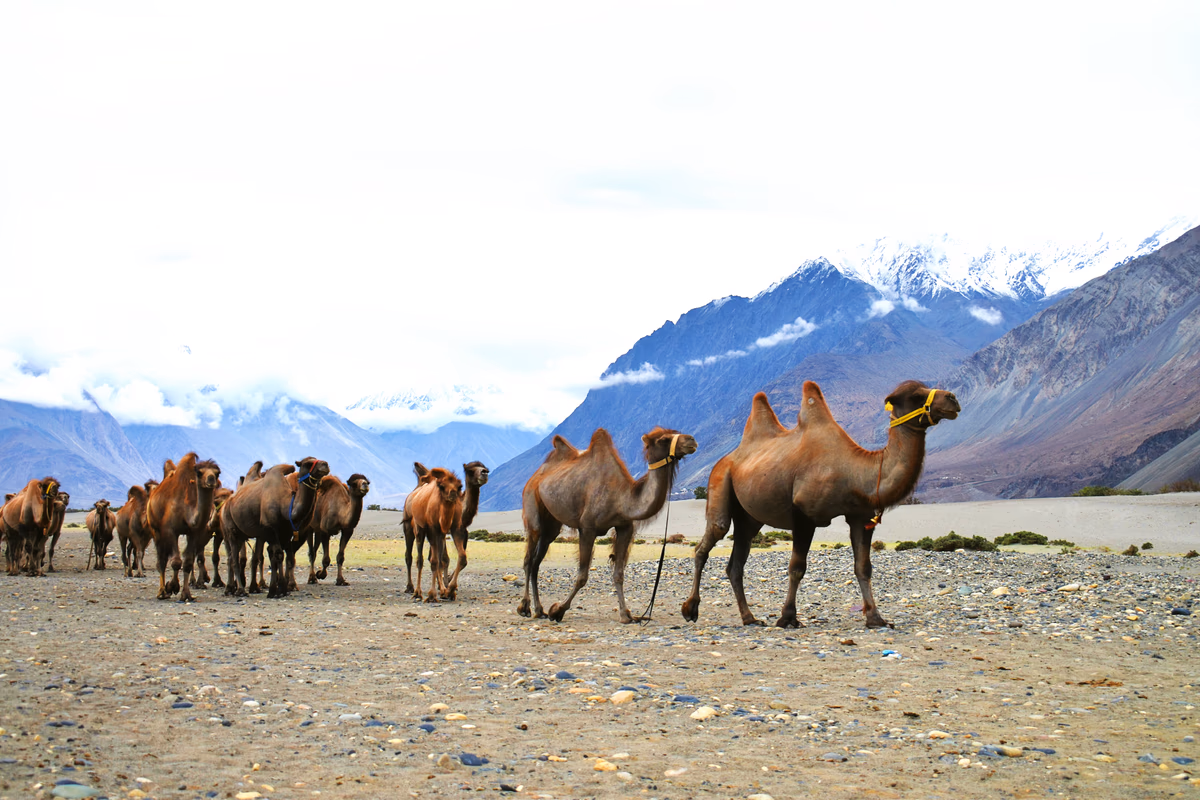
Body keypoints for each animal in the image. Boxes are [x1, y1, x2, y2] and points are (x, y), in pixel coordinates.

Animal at [143, 453, 222, 601]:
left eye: (217, 473)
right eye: (199, 472)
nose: (211, 479)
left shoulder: (194, 533)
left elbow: (187, 562)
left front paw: (186, 594)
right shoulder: (170, 530)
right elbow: (176, 562)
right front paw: (172, 586)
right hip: (155, 529)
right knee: (162, 559)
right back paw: (162, 592)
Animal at [220, 457, 329, 598]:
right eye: (308, 463)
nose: (325, 465)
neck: (285, 506)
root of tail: (227, 501)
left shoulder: (285, 533)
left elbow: (284, 557)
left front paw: (279, 589)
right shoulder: (270, 530)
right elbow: (278, 555)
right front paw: (278, 590)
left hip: (242, 534)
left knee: (234, 557)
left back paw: (232, 588)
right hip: (231, 530)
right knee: (234, 559)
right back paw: (240, 590)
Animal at [403, 466, 463, 603]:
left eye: (460, 486)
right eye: (441, 486)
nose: (452, 494)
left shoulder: (454, 528)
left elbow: (461, 557)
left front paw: (449, 591)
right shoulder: (432, 530)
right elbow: (434, 561)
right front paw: (432, 595)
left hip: (438, 535)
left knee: (438, 559)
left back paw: (442, 590)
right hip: (413, 528)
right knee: (415, 558)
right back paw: (414, 590)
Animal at [518, 426, 697, 623]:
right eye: (664, 439)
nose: (691, 440)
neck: (622, 499)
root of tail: (537, 475)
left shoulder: (625, 527)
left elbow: (618, 574)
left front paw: (626, 614)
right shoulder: (587, 528)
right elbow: (582, 576)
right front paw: (557, 610)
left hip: (551, 525)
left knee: (537, 561)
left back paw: (539, 609)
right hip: (531, 501)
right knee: (529, 558)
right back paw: (524, 607)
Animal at [681, 380, 960, 629]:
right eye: (916, 395)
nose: (952, 399)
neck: (856, 471)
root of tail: (727, 458)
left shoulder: (860, 516)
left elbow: (863, 568)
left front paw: (876, 618)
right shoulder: (803, 515)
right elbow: (797, 567)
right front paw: (788, 618)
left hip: (750, 518)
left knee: (735, 564)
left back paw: (749, 618)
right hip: (720, 481)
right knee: (709, 540)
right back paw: (690, 609)